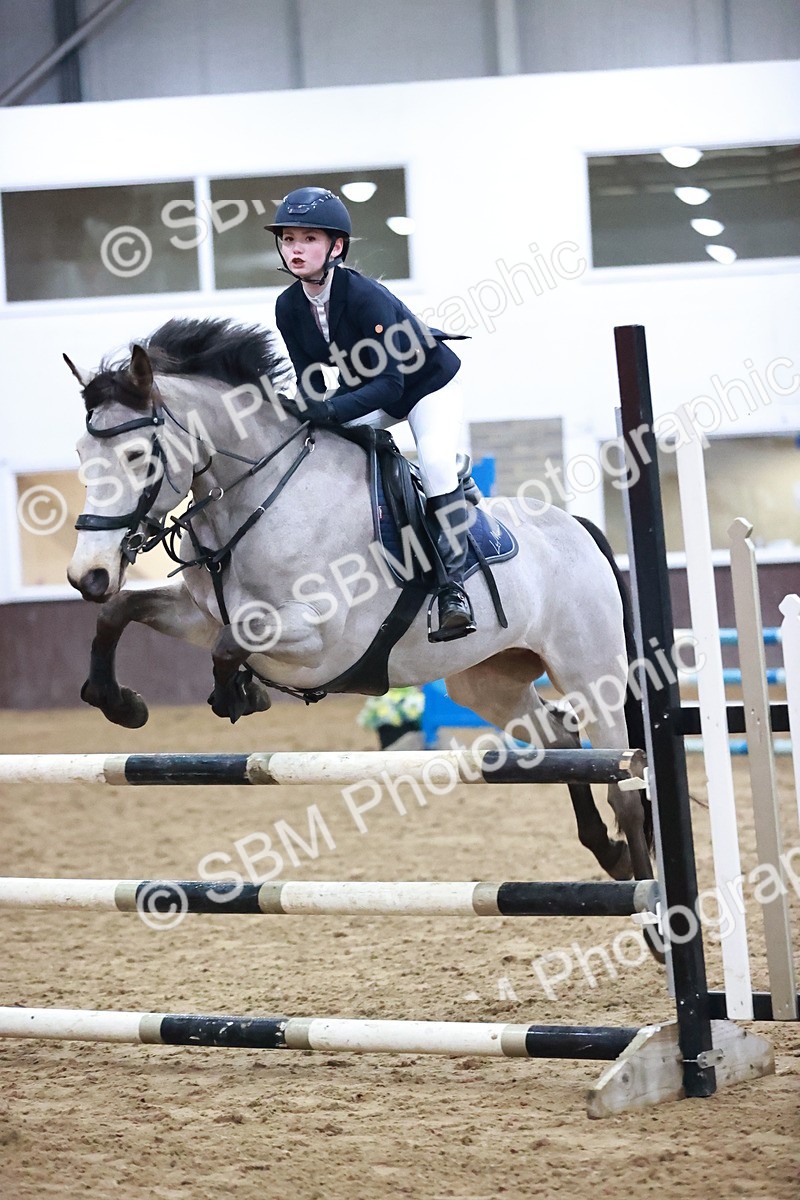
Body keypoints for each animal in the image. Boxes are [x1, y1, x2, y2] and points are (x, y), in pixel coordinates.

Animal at [65, 317, 653, 885]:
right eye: (80, 455)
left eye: (136, 455)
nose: (87, 575)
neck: (255, 501)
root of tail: (575, 525)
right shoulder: (201, 616)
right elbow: (121, 613)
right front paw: (120, 703)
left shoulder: (319, 638)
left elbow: (232, 644)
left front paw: (239, 696)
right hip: (489, 679)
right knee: (560, 740)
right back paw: (609, 854)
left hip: (590, 673)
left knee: (622, 780)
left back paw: (648, 902)